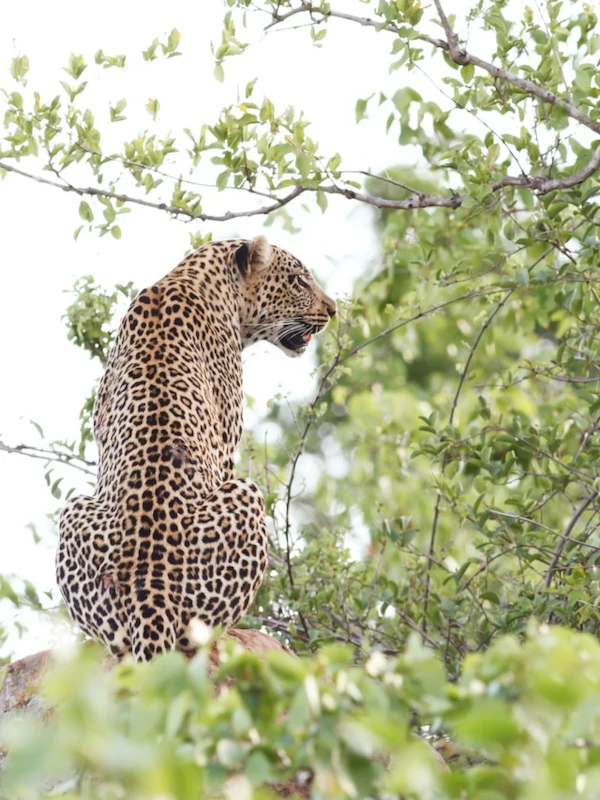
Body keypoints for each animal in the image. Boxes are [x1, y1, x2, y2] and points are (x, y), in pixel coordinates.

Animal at [56, 236, 336, 661]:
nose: (333, 310)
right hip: (247, 493)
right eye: (299, 281)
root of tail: (150, 590)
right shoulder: (226, 444)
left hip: (74, 509)